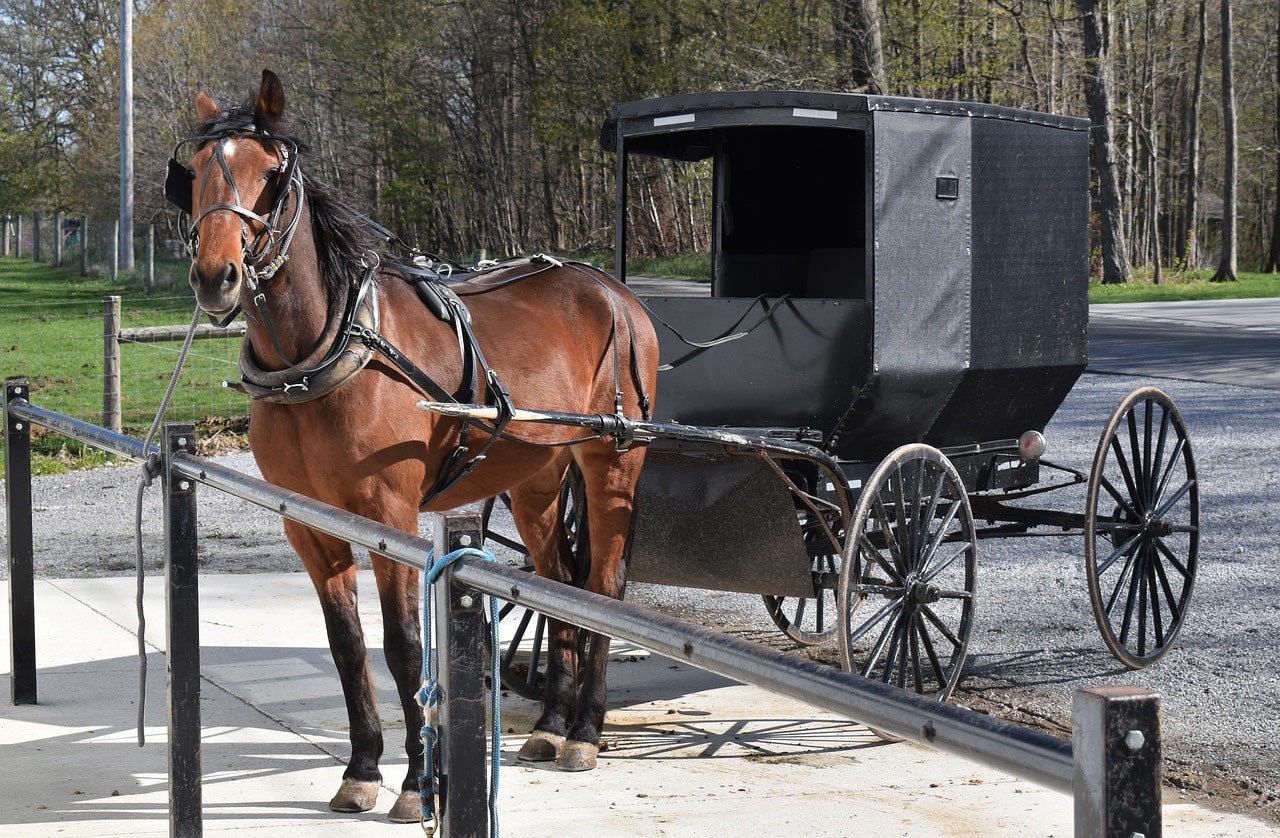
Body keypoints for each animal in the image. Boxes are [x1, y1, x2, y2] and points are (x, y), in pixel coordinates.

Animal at [177, 70, 660, 818]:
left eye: (273, 174)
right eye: (196, 171)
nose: (215, 276)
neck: (328, 345)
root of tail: (611, 290)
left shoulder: (391, 517)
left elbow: (403, 646)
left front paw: (416, 781)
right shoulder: (307, 524)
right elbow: (347, 645)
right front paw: (362, 768)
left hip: (612, 462)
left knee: (602, 586)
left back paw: (584, 731)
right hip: (538, 476)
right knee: (556, 581)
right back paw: (552, 724)